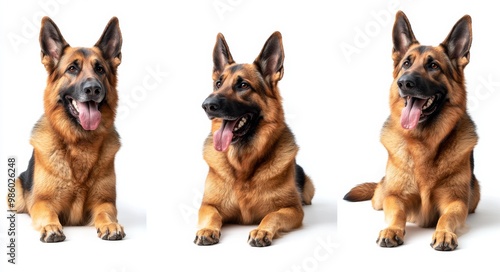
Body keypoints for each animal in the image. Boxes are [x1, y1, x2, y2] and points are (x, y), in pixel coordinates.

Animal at [12, 17, 123, 242]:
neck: (80, 142)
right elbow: (48, 214)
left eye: (100, 69)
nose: (93, 89)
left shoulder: (105, 201)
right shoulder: (42, 203)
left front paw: (110, 225)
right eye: (72, 68)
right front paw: (50, 227)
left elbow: (105, 213)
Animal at [194, 31, 314, 246]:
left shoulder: (292, 209)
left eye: (243, 85)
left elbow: (272, 215)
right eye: (218, 84)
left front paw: (261, 231)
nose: (207, 105)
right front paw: (207, 229)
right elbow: (212, 215)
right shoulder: (207, 205)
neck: (243, 165)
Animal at [344, 11, 480, 251]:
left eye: (433, 66)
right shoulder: (395, 197)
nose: (404, 82)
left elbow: (446, 217)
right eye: (406, 63)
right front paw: (391, 229)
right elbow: (397, 213)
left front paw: (444, 233)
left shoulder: (455, 201)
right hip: (380, 196)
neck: (423, 142)